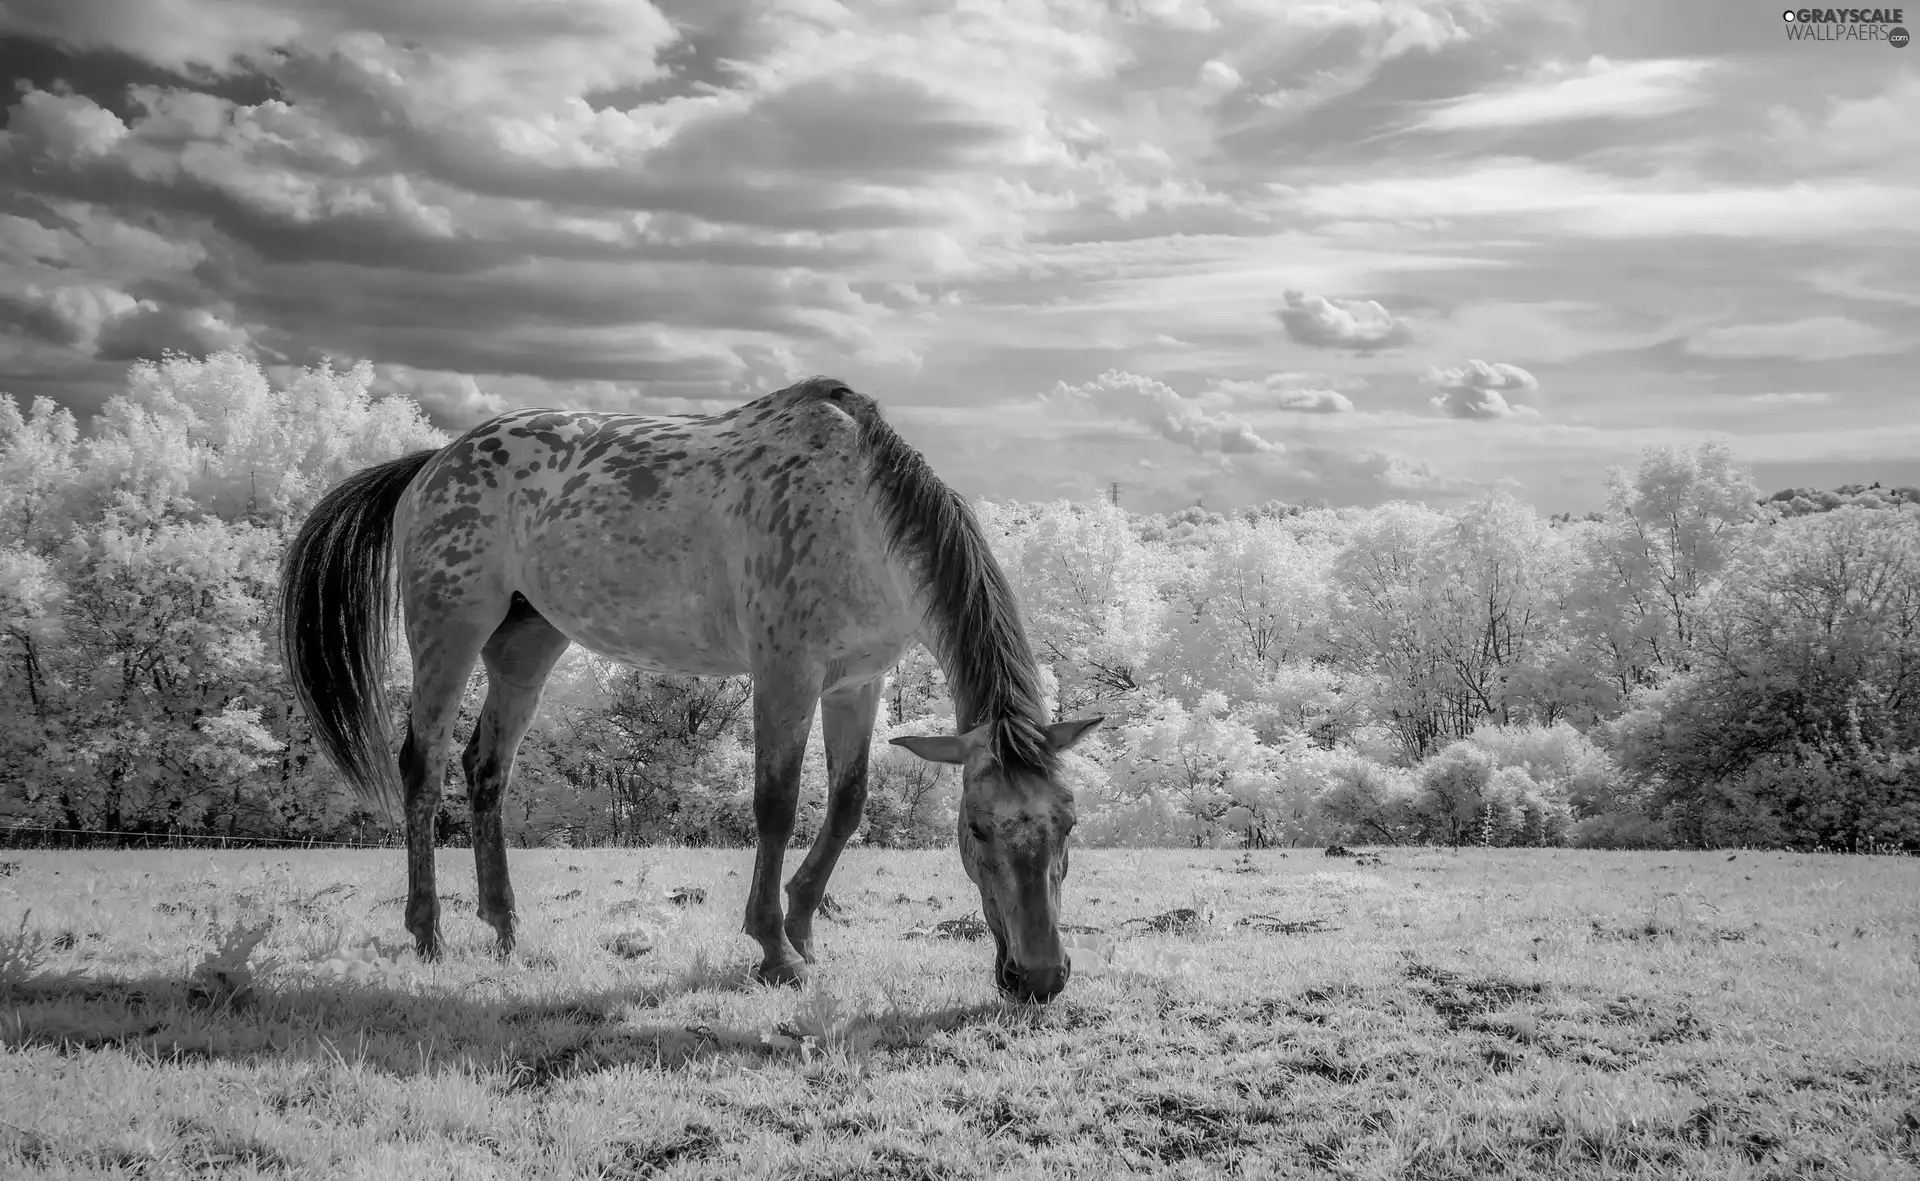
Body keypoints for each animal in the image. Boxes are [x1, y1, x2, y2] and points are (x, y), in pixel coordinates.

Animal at [278, 376, 1105, 998]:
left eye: (1067, 824)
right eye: (977, 829)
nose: (1039, 976)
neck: (858, 511)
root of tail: (432, 462)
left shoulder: (856, 682)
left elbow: (846, 804)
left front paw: (803, 925)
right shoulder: (786, 673)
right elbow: (775, 805)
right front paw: (773, 948)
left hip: (527, 643)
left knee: (488, 768)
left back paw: (506, 926)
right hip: (449, 632)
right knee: (422, 766)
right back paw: (429, 932)